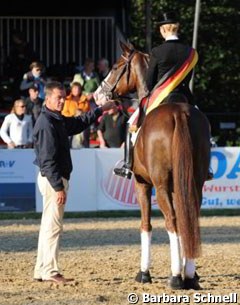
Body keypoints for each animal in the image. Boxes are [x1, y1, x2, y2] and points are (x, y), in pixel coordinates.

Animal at [94, 41, 210, 288]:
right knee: (189, 217)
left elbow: (146, 224)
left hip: (161, 184)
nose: (99, 94)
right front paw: (191, 272)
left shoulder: (142, 184)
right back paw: (189, 276)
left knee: (172, 222)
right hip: (194, 182)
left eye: (116, 67)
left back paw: (176, 277)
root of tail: (179, 114)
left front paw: (144, 273)